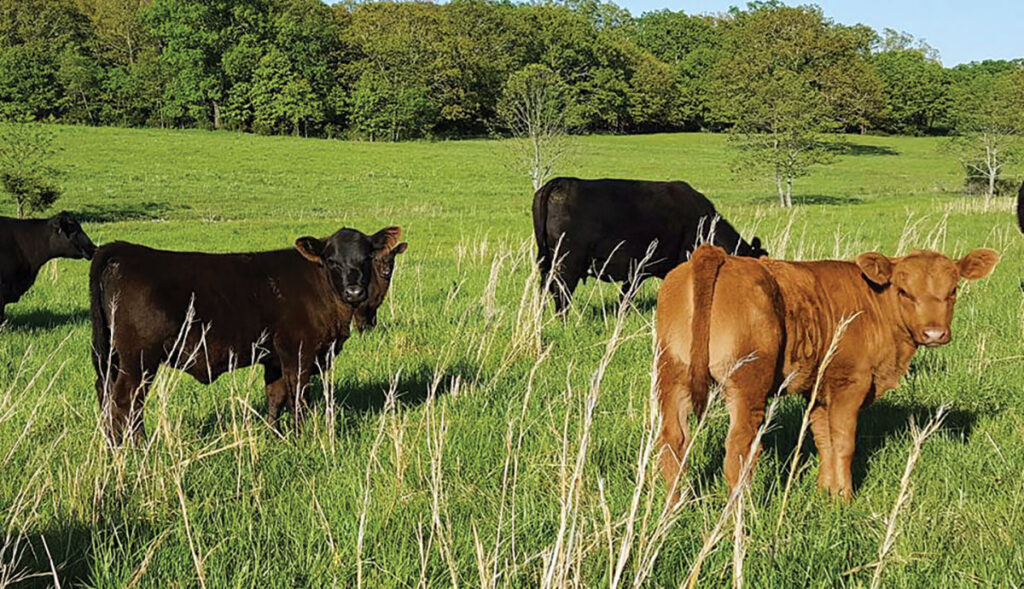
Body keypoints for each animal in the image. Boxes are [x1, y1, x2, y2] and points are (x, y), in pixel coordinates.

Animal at [91, 227, 399, 442]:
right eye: (332, 260)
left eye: (367, 258)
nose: (354, 291)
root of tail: (126, 251)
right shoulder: (299, 353)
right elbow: (298, 398)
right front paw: (301, 439)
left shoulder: (274, 357)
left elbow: (275, 397)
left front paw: (274, 436)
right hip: (138, 359)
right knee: (126, 401)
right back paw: (135, 447)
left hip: (113, 357)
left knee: (107, 393)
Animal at [655, 242, 999, 497]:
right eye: (903, 291)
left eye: (953, 290)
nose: (934, 333)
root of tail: (719, 257)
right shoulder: (851, 382)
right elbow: (844, 442)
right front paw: (844, 498)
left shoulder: (819, 389)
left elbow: (824, 439)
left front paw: (825, 492)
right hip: (748, 382)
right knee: (739, 448)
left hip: (672, 374)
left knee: (674, 442)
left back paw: (674, 510)